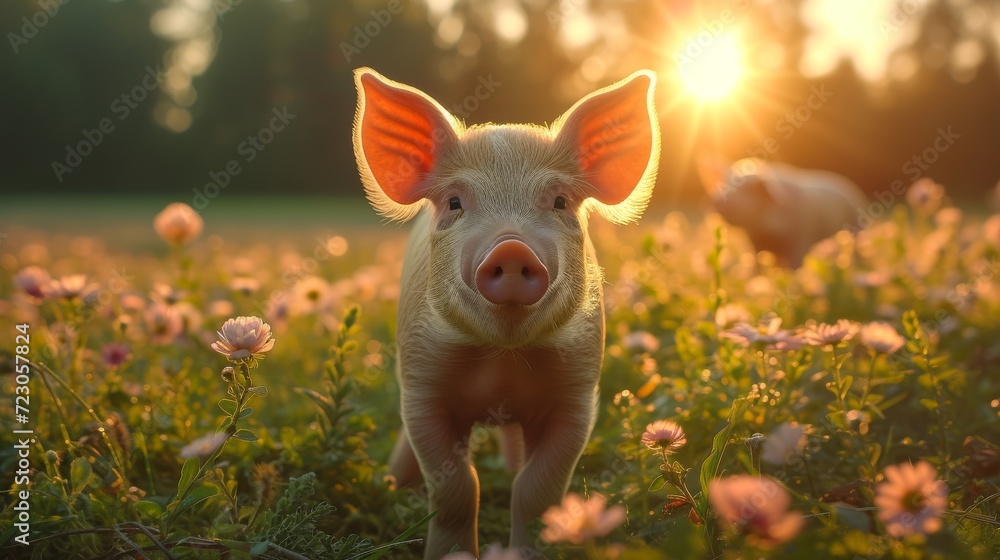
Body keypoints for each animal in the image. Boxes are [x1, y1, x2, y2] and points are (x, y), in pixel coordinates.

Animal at [352, 67, 660, 558]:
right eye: (455, 202)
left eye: (560, 201)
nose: (512, 248)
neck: (502, 361)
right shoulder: (422, 388)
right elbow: (457, 487)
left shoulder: (578, 395)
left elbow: (536, 490)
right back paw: (390, 485)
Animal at [696, 156, 867, 268]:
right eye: (725, 182)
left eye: (749, 190)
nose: (716, 199)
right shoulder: (755, 244)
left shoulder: (801, 237)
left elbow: (795, 266)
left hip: (857, 228)